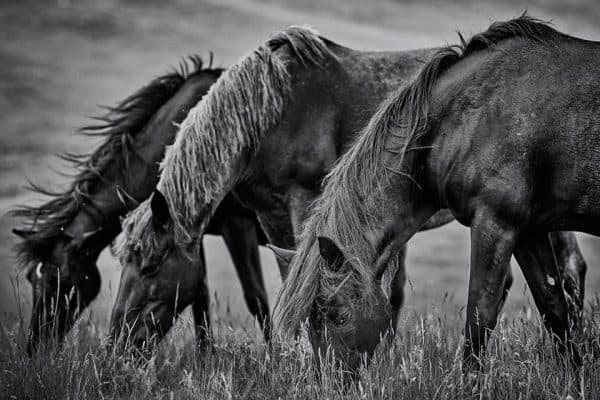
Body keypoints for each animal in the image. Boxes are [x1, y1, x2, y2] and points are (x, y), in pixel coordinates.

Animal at [11, 56, 272, 354]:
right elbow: (199, 298)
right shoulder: (186, 231)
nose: (35, 347)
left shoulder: (237, 225)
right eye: (32, 279)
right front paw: (206, 357)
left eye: (58, 282)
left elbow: (257, 298)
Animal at [112, 24, 584, 354]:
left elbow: (293, 279)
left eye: (150, 267)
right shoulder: (267, 213)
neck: (269, 111)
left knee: (569, 273)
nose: (117, 342)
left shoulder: (301, 204)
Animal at [276, 15, 600, 372]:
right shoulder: (529, 231)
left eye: (339, 315)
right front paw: (575, 374)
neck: (461, 119)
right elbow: (554, 309)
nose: (331, 379)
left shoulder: (495, 225)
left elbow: (479, 319)